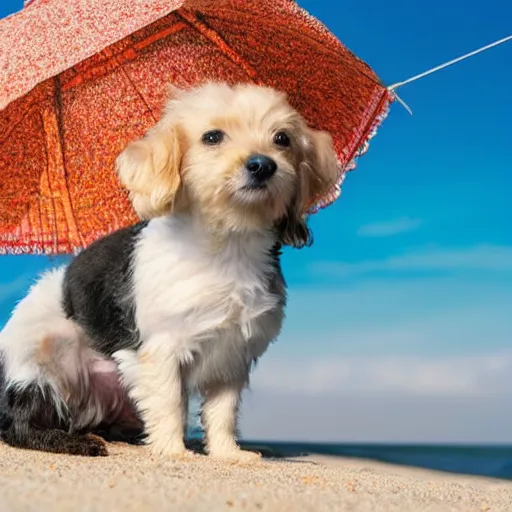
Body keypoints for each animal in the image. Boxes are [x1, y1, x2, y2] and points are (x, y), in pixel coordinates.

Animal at [0, 82, 340, 458]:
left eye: (282, 139)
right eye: (212, 137)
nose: (262, 165)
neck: (226, 244)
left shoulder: (232, 358)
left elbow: (222, 411)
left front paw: (227, 454)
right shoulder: (161, 351)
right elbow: (168, 402)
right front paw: (173, 452)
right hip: (44, 354)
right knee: (20, 422)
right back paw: (67, 441)